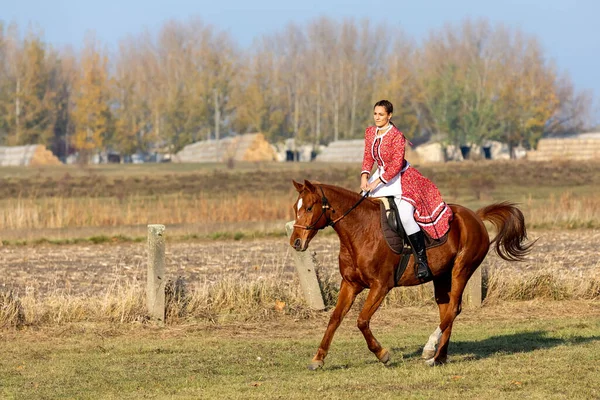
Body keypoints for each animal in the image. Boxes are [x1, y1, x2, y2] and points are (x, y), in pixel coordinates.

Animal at [288, 180, 532, 370]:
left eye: (309, 208)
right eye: (295, 208)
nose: (296, 243)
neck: (360, 231)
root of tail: (475, 216)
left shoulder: (380, 286)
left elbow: (362, 321)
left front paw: (383, 354)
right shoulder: (350, 284)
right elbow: (335, 319)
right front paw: (318, 358)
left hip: (461, 270)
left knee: (454, 308)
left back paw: (429, 349)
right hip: (441, 277)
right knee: (447, 310)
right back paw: (439, 357)